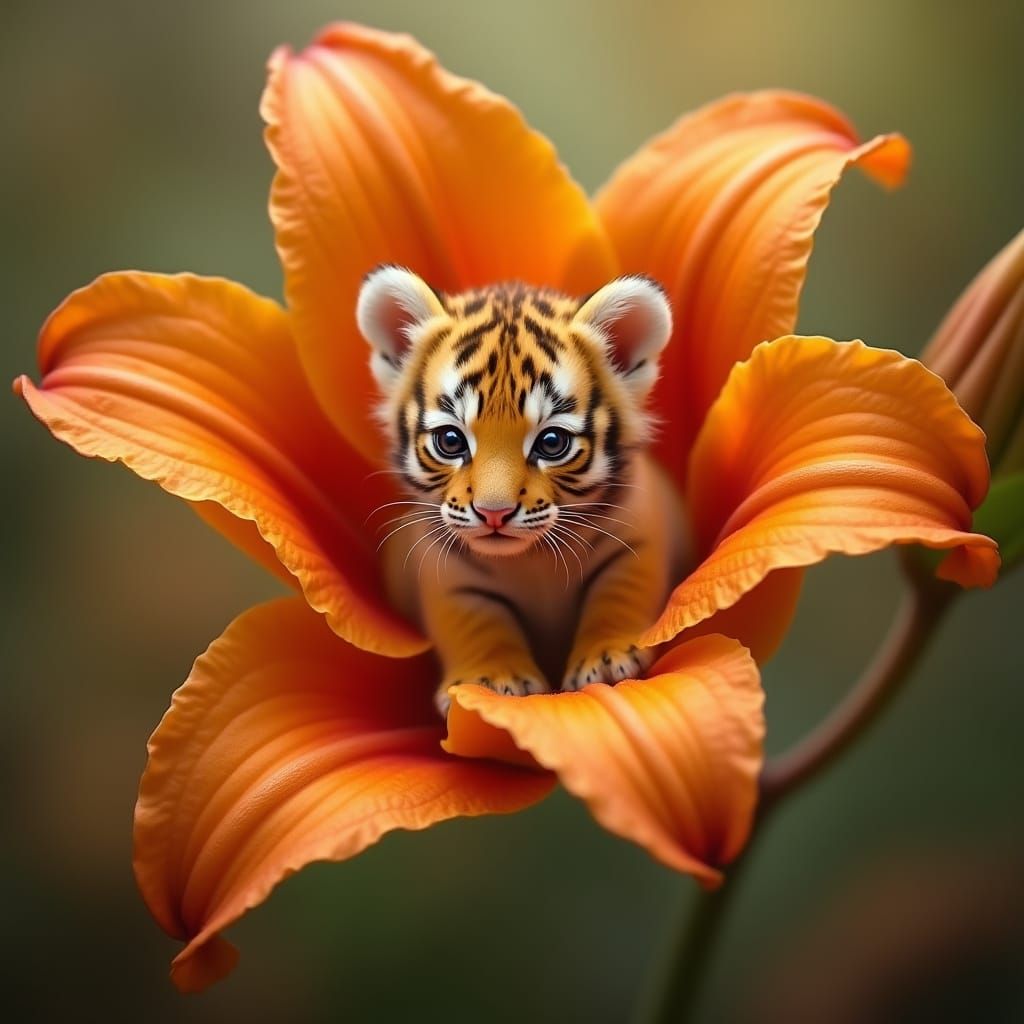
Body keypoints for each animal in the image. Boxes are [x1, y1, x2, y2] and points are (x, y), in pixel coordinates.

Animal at [357, 265, 690, 715]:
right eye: (450, 441)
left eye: (552, 443)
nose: (493, 512)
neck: (531, 560)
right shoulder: (450, 575)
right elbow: (474, 622)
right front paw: (494, 680)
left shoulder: (634, 540)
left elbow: (619, 595)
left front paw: (607, 660)